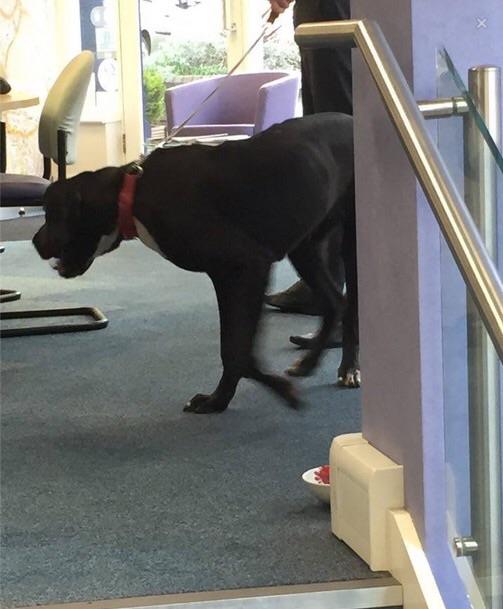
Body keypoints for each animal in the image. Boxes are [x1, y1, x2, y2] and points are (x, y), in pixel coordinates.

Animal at [33, 113, 359, 413]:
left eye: (49, 214)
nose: (35, 242)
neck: (131, 194)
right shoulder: (226, 277)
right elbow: (233, 349)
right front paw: (219, 400)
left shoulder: (248, 267)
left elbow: (237, 351)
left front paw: (279, 391)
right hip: (304, 247)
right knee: (335, 304)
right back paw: (309, 363)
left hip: (352, 244)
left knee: (351, 308)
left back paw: (349, 370)